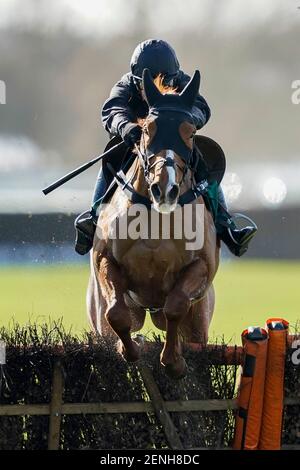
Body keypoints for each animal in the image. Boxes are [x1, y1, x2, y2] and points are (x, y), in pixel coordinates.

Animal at [86, 69, 220, 378]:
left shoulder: (202, 266)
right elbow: (116, 313)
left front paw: (173, 361)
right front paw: (130, 349)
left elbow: (176, 305)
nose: (164, 188)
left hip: (199, 319)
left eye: (190, 131)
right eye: (147, 129)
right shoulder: (105, 259)